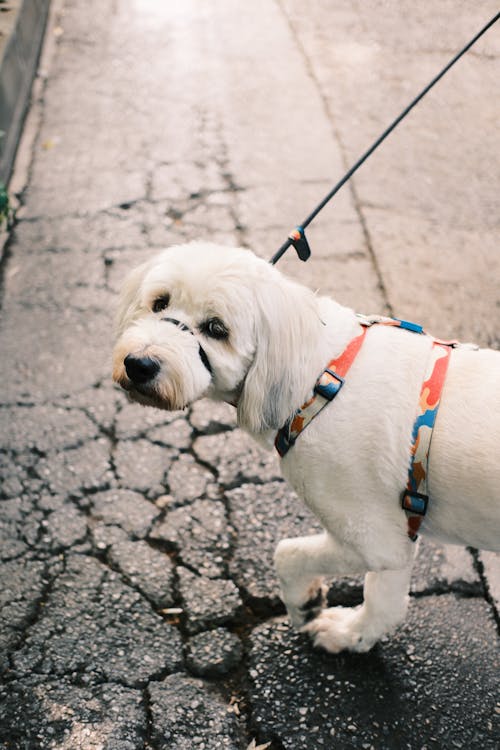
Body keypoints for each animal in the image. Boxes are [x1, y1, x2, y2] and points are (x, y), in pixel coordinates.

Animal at [113, 244, 500, 656]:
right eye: (159, 303)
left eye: (217, 330)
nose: (139, 364)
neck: (319, 380)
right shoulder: (397, 542)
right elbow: (385, 600)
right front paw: (356, 633)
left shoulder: (370, 538)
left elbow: (288, 553)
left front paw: (306, 606)